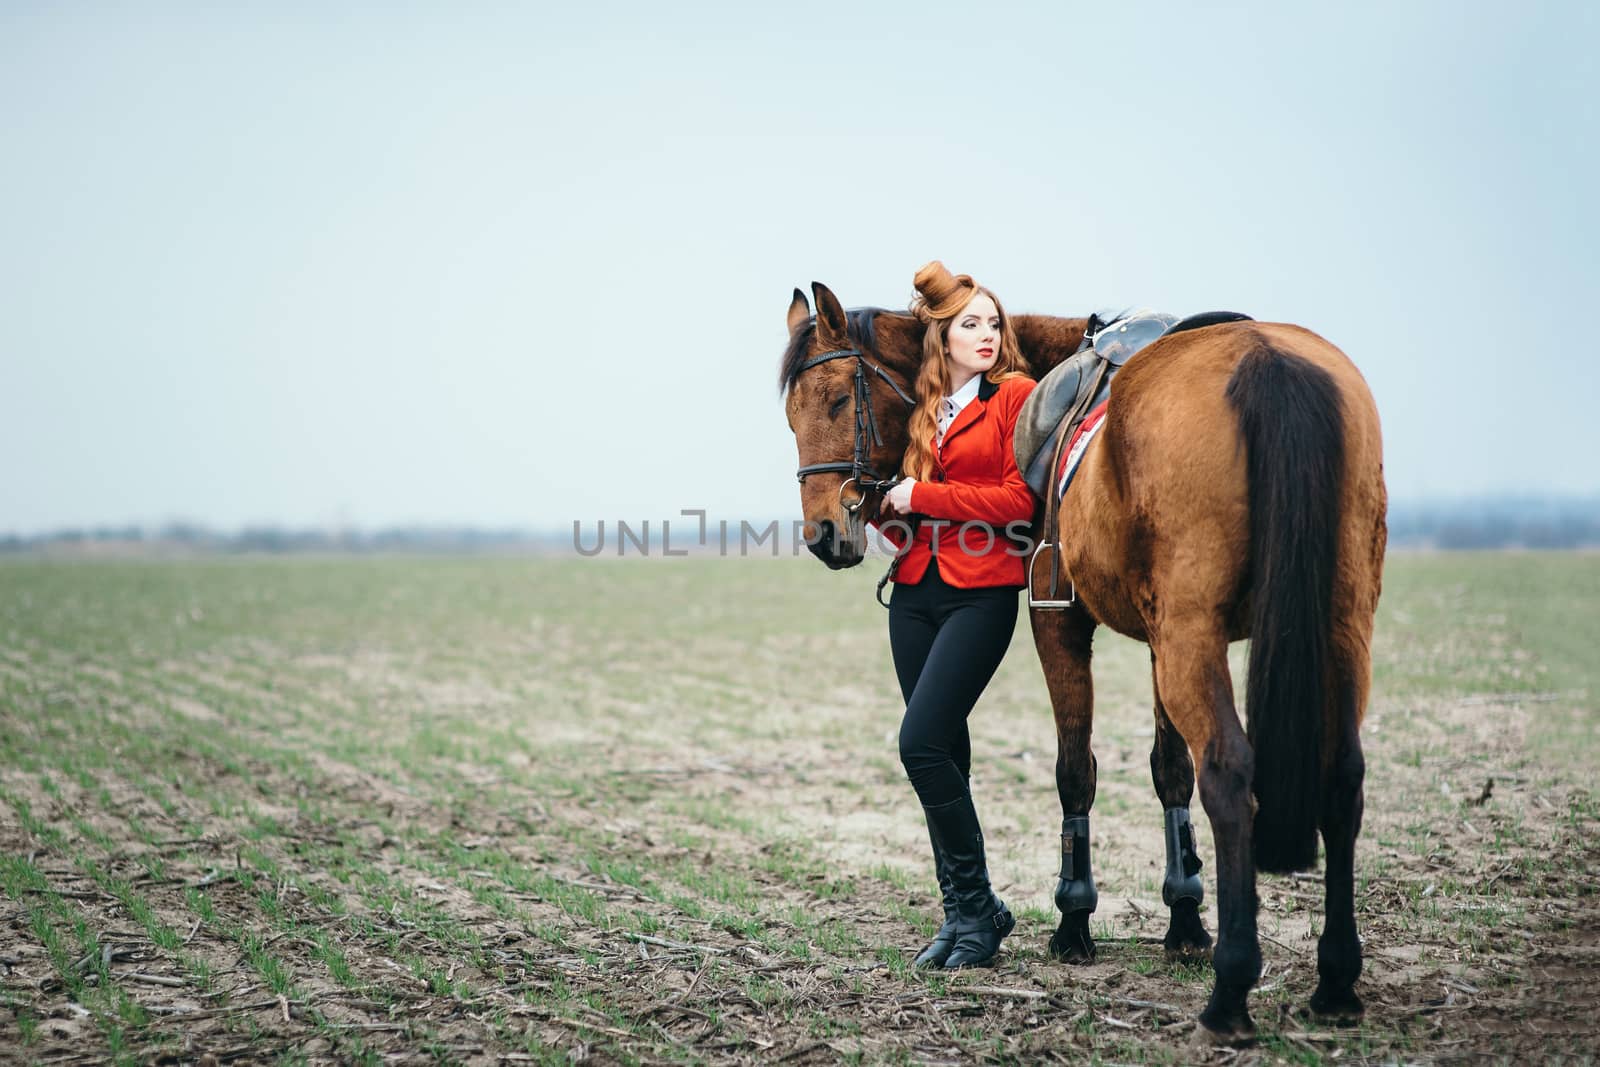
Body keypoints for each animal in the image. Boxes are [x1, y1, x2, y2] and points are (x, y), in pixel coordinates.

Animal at [780, 283, 1382, 1043]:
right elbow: (1168, 771)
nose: (824, 533)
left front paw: (1073, 921)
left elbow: (1076, 771)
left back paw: (1232, 989)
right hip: (1335, 627)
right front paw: (1185, 919)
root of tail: (1266, 359)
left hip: (1196, 636)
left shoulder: (1061, 621)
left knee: (1228, 772)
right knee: (1341, 776)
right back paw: (1335, 980)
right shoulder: (1161, 637)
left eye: (835, 399)